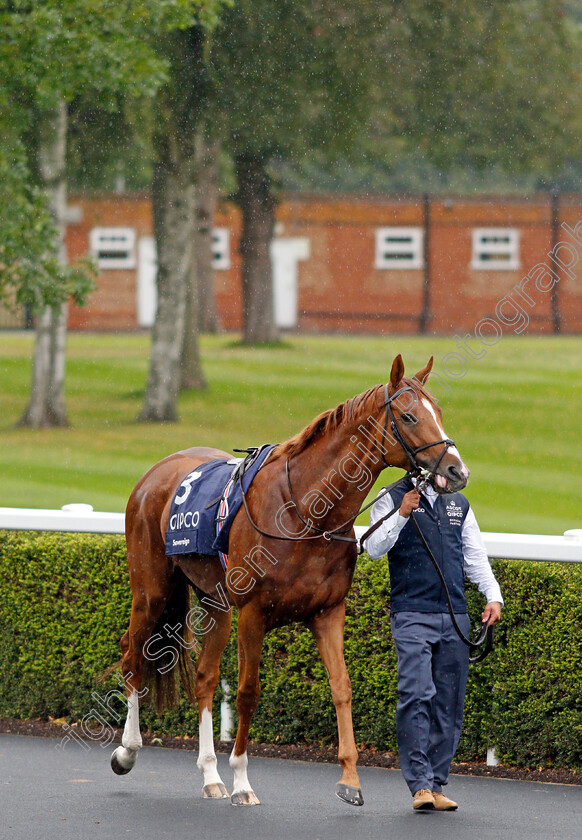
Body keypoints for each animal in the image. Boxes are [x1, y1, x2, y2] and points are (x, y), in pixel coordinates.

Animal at [112, 354, 472, 808]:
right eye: (409, 416)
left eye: (438, 412)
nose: (457, 471)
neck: (304, 511)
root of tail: (155, 473)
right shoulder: (253, 614)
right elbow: (248, 691)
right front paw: (242, 780)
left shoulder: (327, 611)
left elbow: (342, 686)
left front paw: (350, 778)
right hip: (152, 589)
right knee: (133, 656)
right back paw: (128, 750)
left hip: (215, 601)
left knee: (205, 677)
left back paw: (210, 774)